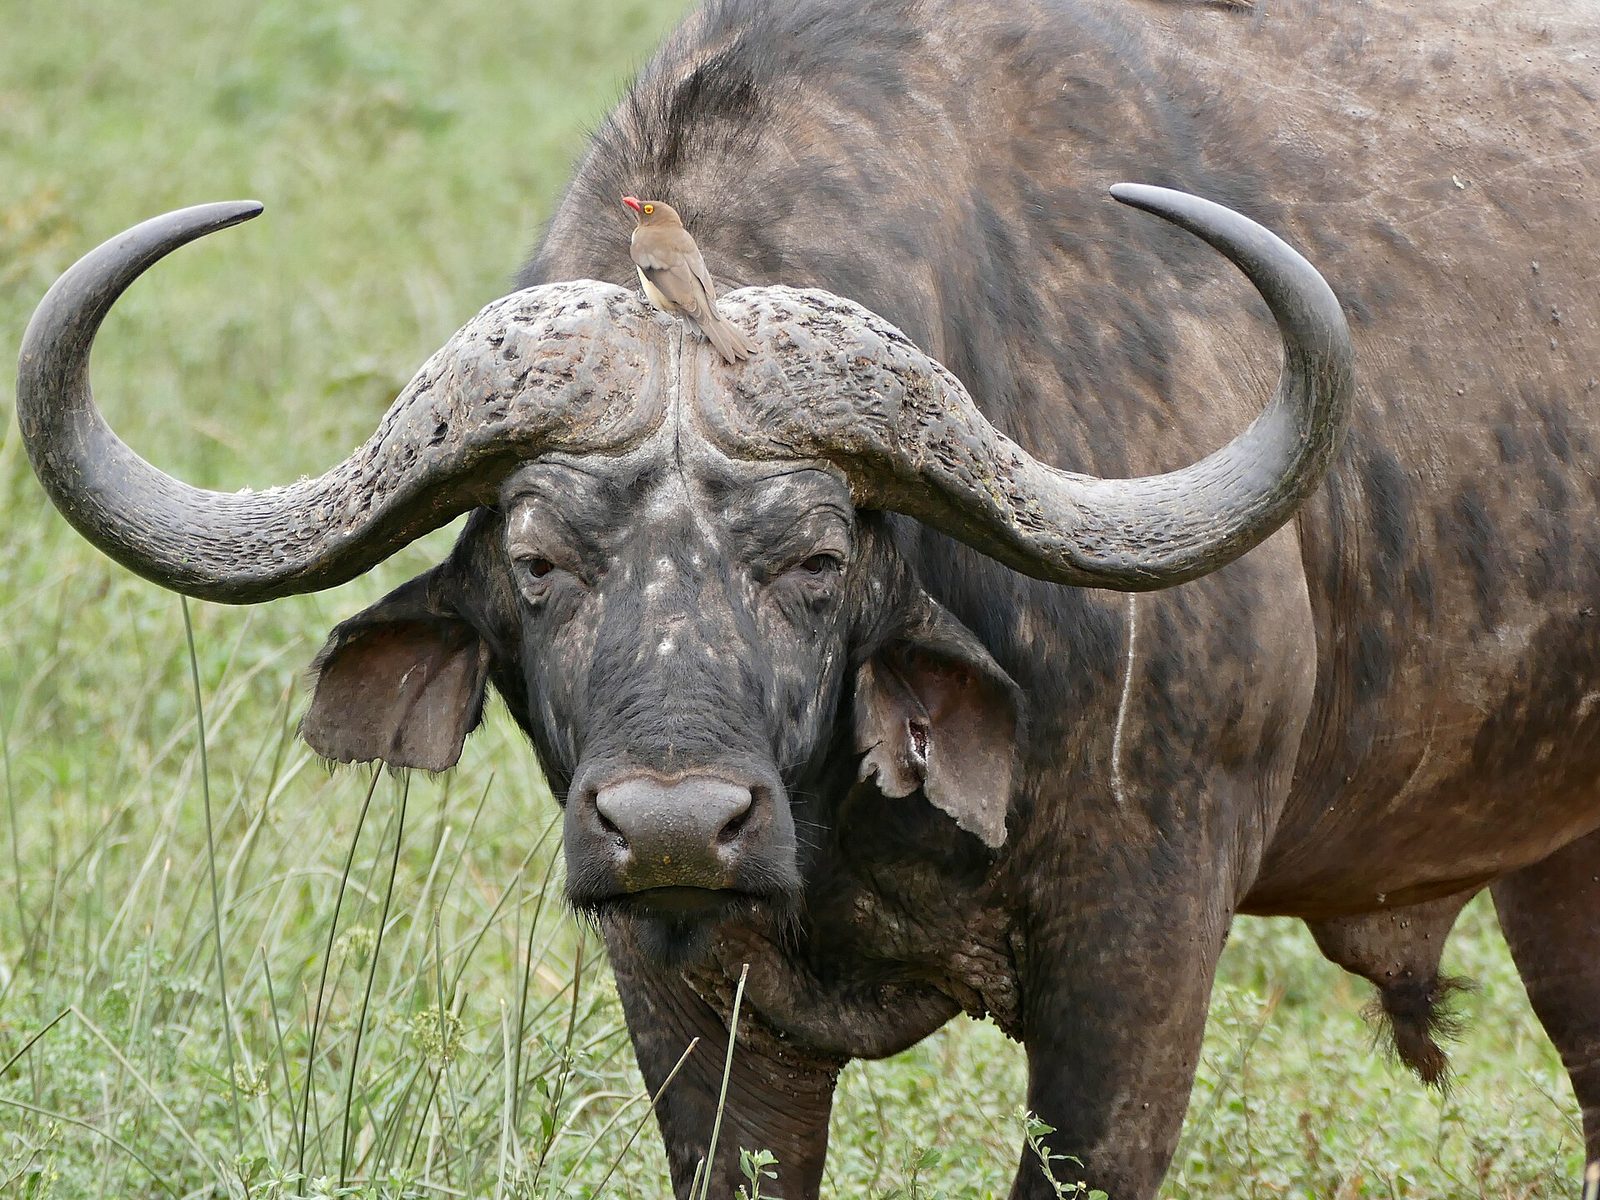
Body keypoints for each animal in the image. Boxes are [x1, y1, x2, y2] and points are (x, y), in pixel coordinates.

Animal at [15, 0, 1600, 1195]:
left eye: (817, 561)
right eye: (537, 561)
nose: (673, 823)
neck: (846, 822)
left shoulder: (1141, 957)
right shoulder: (677, 991)